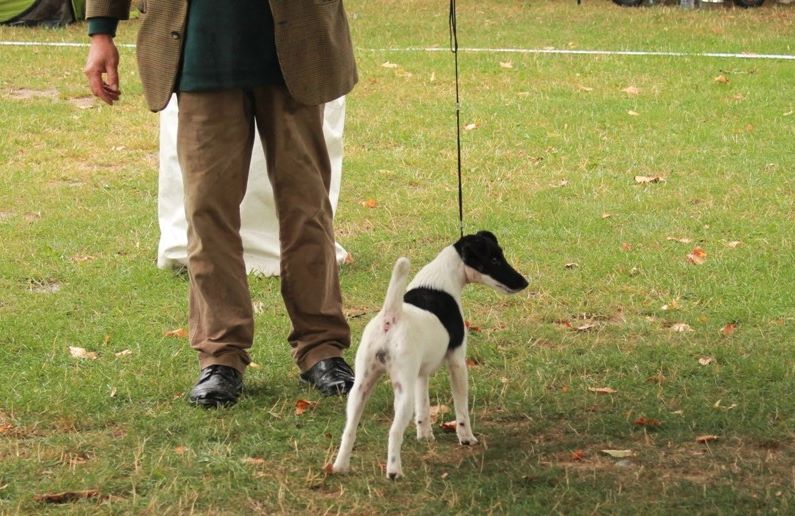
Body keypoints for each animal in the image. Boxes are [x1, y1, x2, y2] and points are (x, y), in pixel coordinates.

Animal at [332, 232, 532, 478]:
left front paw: (425, 435)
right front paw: (466, 438)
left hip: (361, 386)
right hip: (402, 391)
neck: (441, 281)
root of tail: (391, 317)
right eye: (494, 259)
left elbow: (424, 406)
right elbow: (461, 408)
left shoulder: (421, 374)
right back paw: (394, 471)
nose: (524, 282)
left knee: (349, 428)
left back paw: (340, 466)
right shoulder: (457, 363)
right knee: (394, 432)